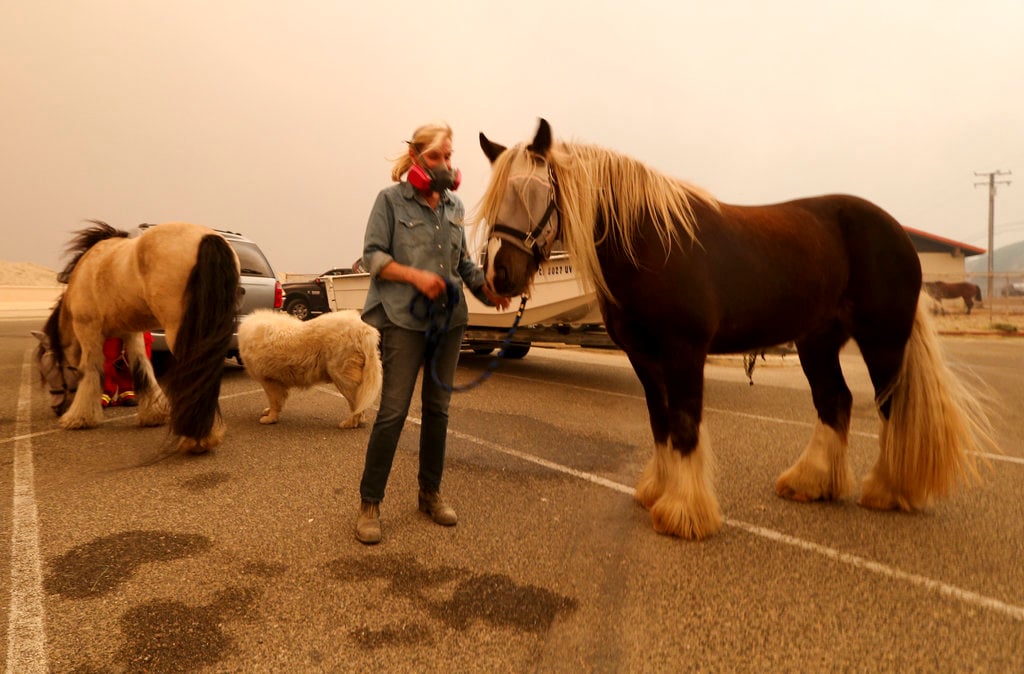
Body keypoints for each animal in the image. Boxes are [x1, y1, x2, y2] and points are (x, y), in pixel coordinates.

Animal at [35, 220, 239, 450]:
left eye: (48, 370)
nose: (56, 409)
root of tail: (207, 237)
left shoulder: (88, 330)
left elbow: (90, 370)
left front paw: (79, 417)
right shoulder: (131, 333)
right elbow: (142, 367)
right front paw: (154, 414)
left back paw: (194, 437)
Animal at [237, 309, 382, 428]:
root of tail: (364, 330)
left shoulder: (269, 381)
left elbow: (274, 401)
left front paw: (270, 418)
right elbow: (276, 401)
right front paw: (269, 412)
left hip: (342, 378)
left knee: (356, 405)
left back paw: (349, 423)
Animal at [475, 120, 995, 536]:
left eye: (531, 192)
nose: (500, 276)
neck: (651, 243)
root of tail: (898, 233)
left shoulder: (684, 352)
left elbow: (685, 424)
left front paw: (684, 513)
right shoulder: (644, 359)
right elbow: (660, 422)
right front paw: (658, 492)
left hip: (882, 339)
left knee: (890, 405)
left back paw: (888, 490)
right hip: (817, 342)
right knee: (836, 401)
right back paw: (810, 482)